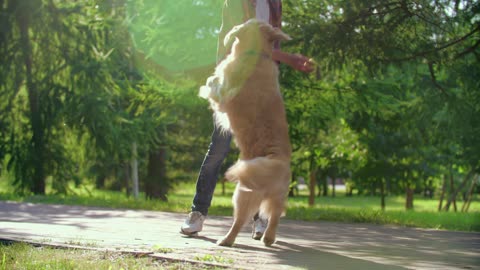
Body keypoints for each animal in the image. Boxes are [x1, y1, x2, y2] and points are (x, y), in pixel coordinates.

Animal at [200, 19, 292, 247]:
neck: (257, 54)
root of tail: (276, 161)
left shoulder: (223, 94)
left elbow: (214, 84)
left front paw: (209, 82)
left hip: (243, 193)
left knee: (239, 221)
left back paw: (225, 240)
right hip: (277, 198)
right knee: (275, 217)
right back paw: (268, 238)